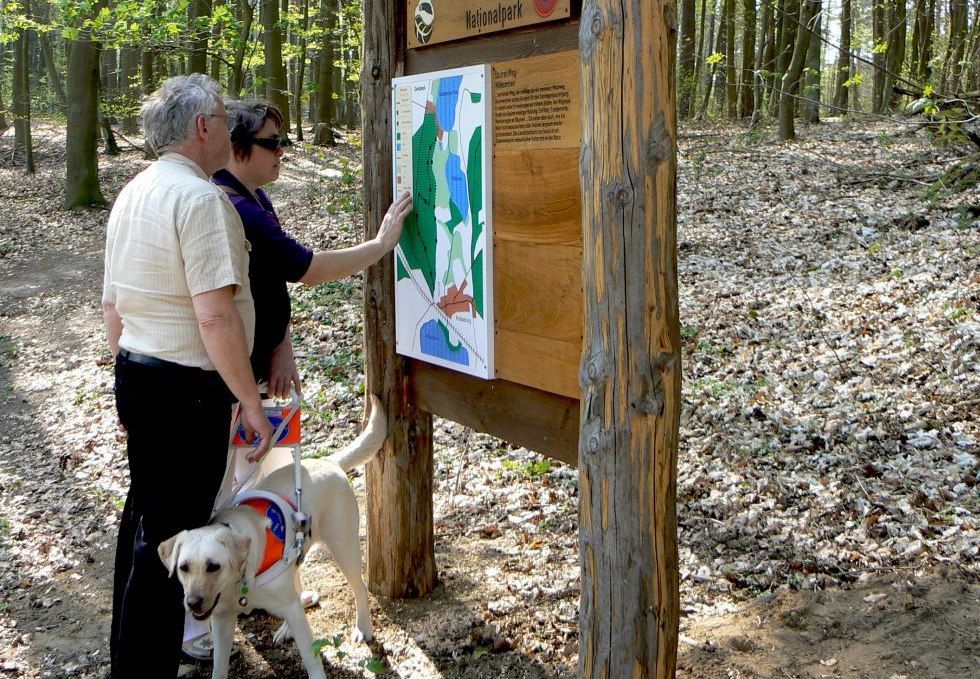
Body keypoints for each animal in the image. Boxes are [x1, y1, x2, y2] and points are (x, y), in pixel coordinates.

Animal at [157, 396, 382, 676]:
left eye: (213, 566)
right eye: (184, 567)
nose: (193, 603)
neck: (239, 582)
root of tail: (328, 461)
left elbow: (312, 661)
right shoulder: (221, 621)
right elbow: (219, 668)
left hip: (344, 548)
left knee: (358, 586)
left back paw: (363, 627)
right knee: (297, 588)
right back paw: (287, 629)